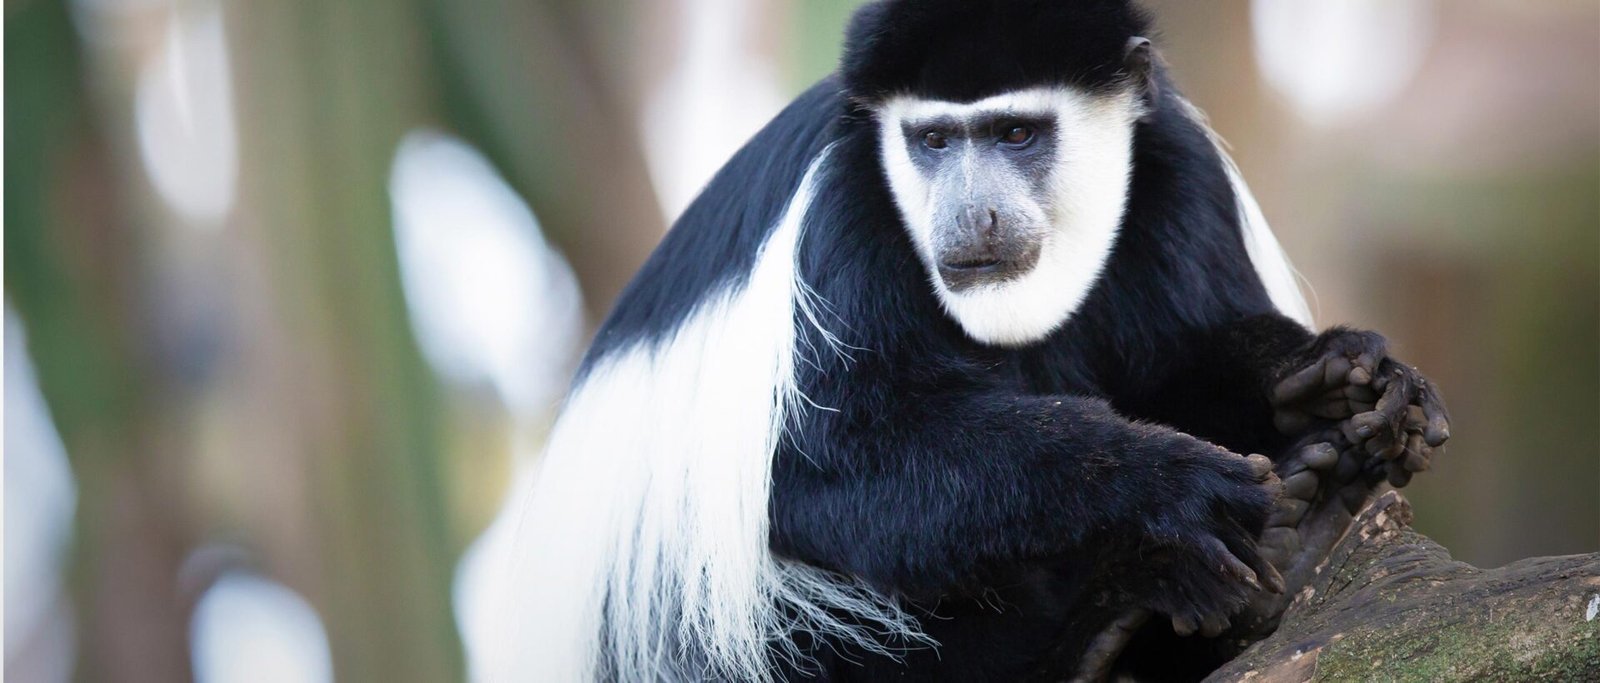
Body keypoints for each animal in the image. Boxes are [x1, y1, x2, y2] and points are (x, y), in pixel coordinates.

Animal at [498, 1, 1450, 681]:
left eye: (1016, 133)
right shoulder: (839, 223)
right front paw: (1167, 484)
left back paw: (1309, 522)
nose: (970, 215)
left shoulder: (1177, 164)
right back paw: (1106, 618)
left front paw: (1334, 376)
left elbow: (1189, 355)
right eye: (933, 140)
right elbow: (831, 466)